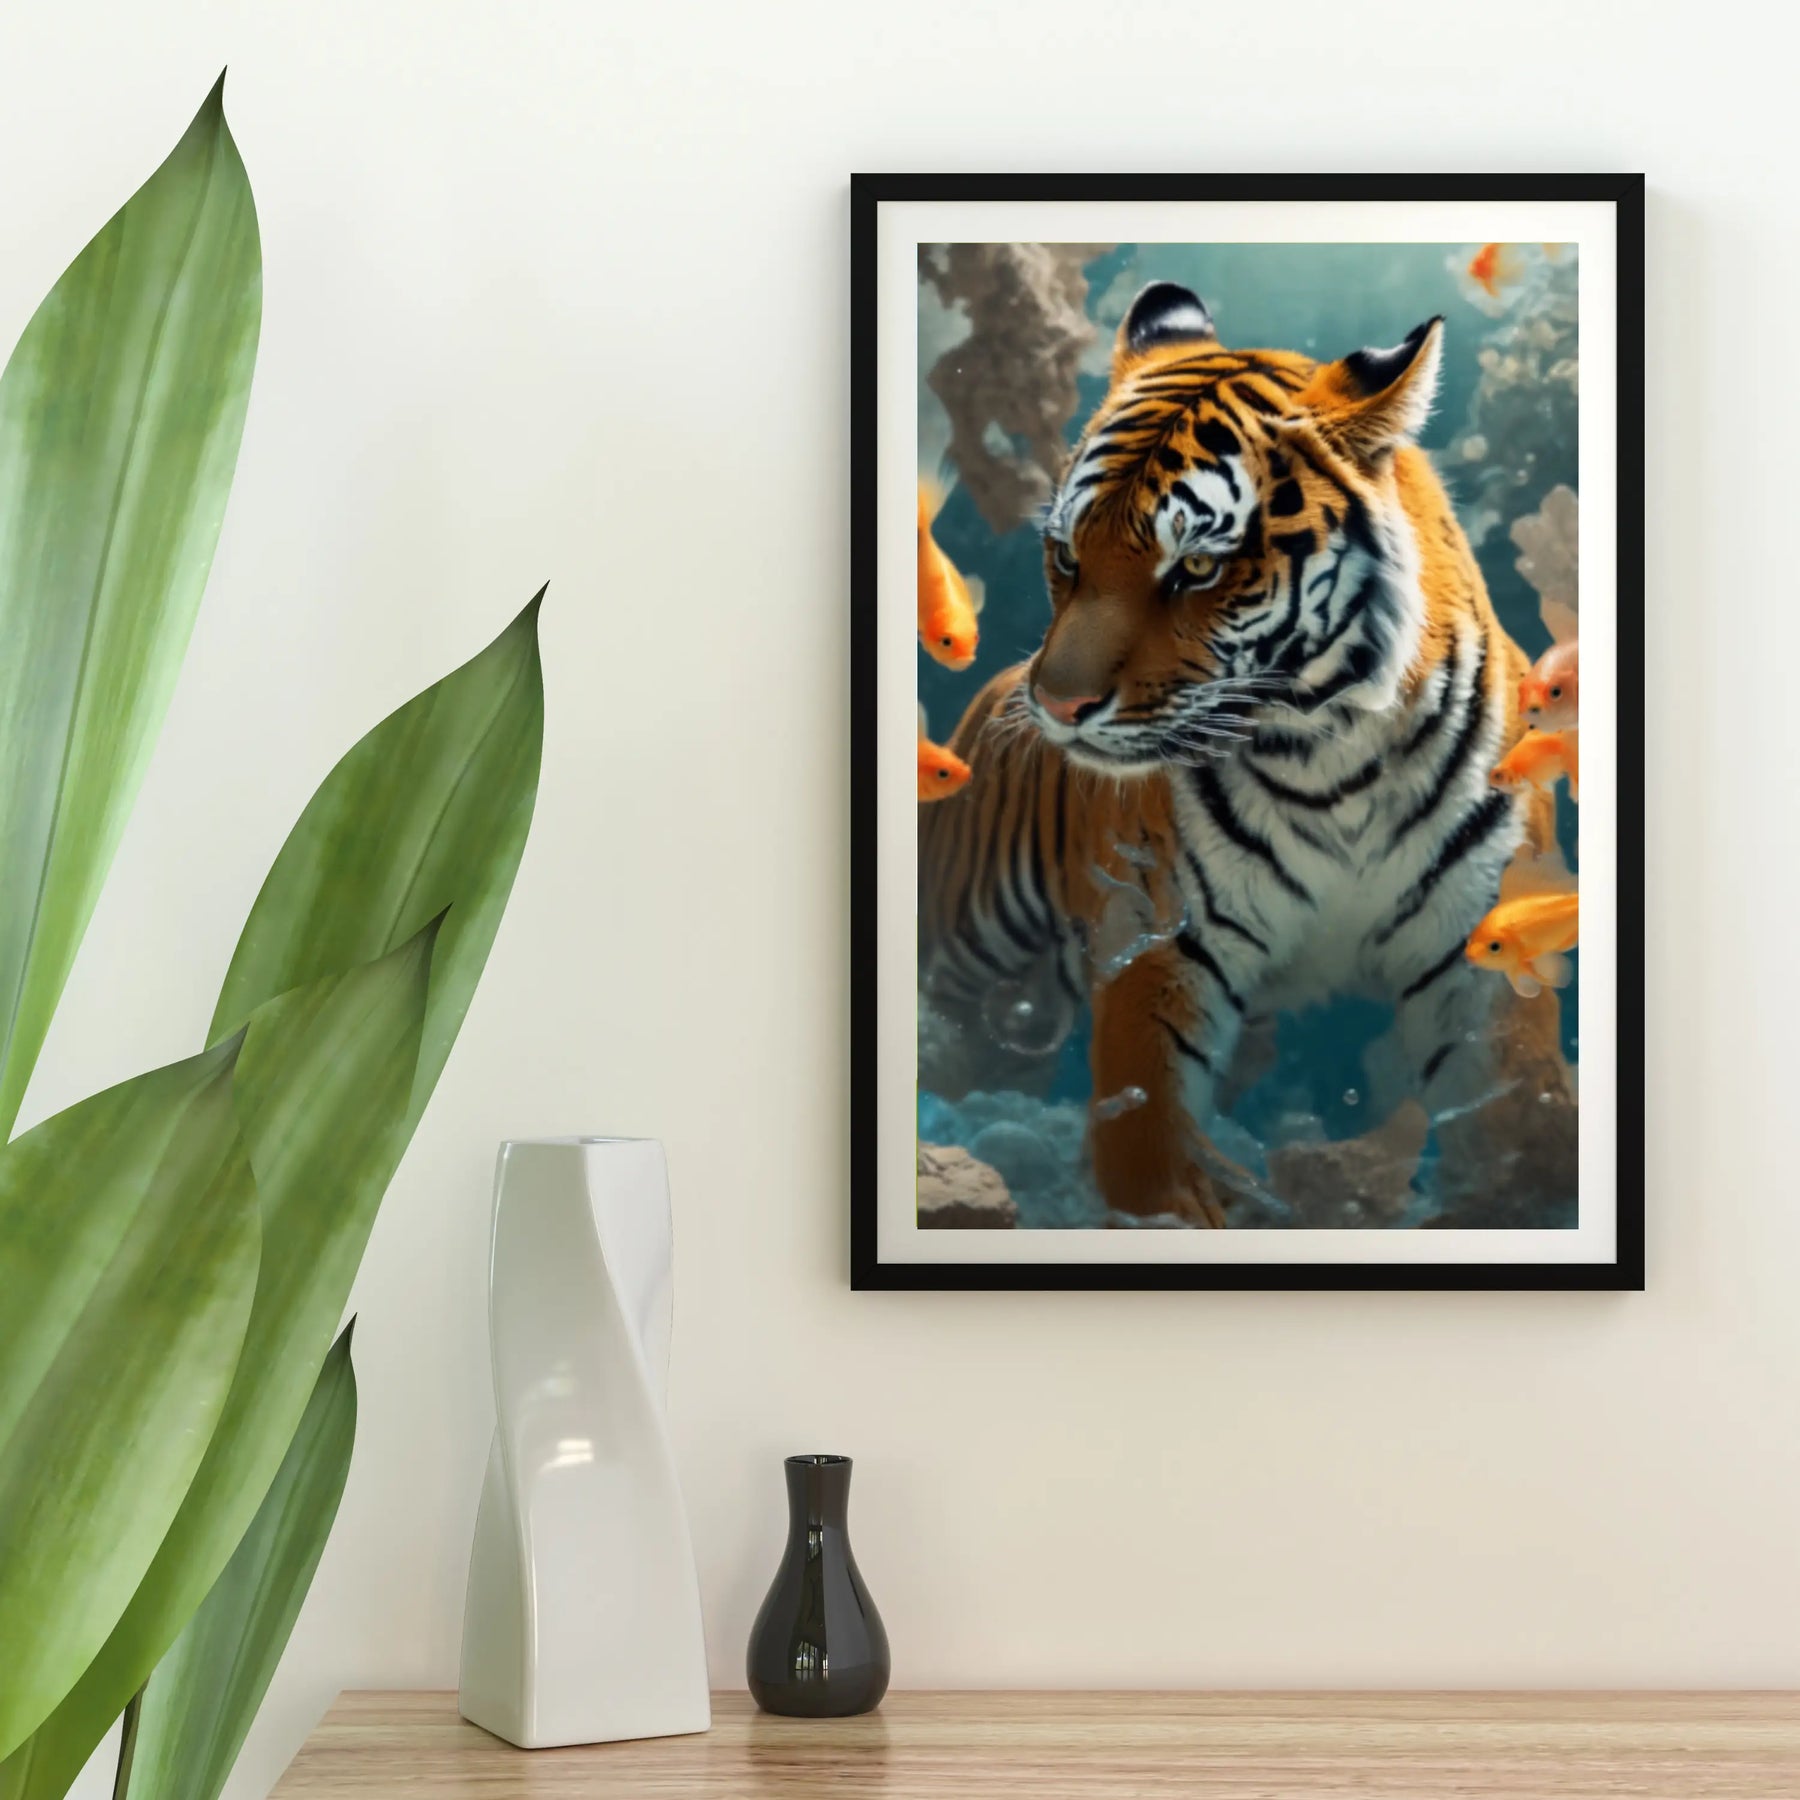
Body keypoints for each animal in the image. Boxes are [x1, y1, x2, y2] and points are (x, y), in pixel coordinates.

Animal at [919, 280, 1576, 1228]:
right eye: (1066, 555)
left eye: (1195, 569)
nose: (1058, 708)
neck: (1331, 751)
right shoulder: (1160, 942)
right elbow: (1148, 1135)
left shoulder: (1481, 950)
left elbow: (1517, 1119)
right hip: (968, 949)